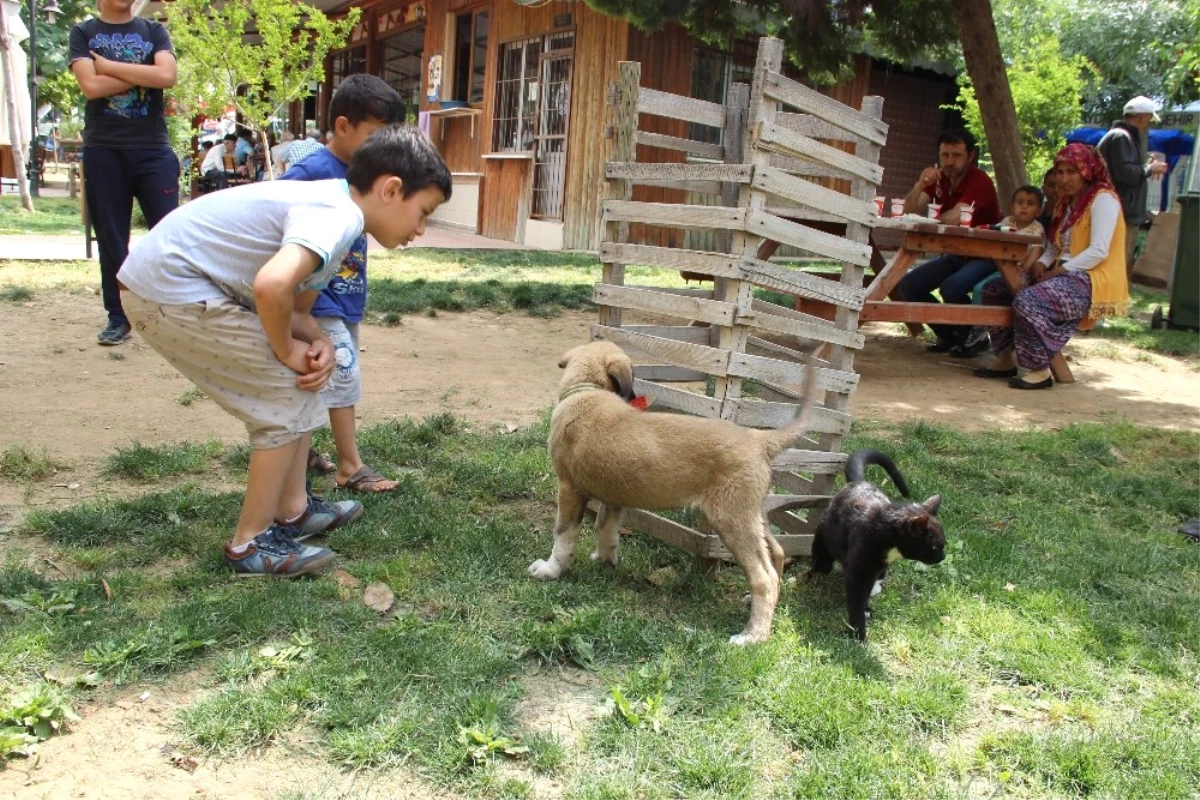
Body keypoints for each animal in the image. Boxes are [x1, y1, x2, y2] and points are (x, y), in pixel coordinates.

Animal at [532, 340, 820, 647]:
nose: (635, 398)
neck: (587, 391)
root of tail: (758, 439)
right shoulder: (613, 498)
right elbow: (605, 530)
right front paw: (605, 561)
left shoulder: (569, 489)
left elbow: (563, 535)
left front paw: (550, 570)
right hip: (752, 514)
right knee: (776, 553)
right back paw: (754, 605)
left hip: (732, 520)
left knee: (763, 577)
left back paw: (752, 635)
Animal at [811, 450, 940, 642]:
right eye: (934, 547)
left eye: (943, 545)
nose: (942, 556)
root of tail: (859, 482)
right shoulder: (858, 572)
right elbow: (856, 600)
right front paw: (859, 635)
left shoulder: (872, 569)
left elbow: (864, 594)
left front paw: (866, 611)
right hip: (825, 543)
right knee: (822, 563)